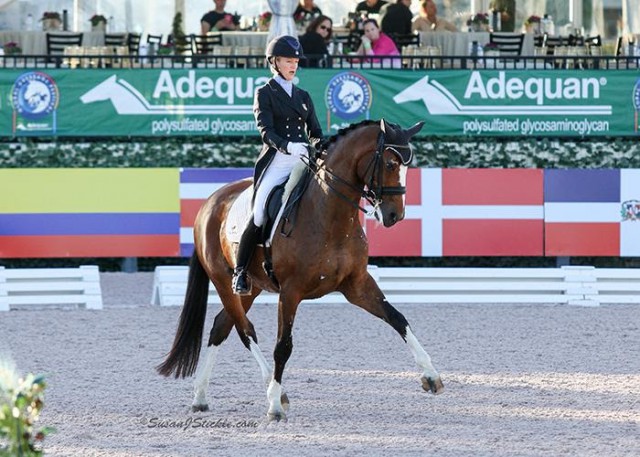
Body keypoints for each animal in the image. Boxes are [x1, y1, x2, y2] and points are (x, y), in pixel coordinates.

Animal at [158, 118, 442, 420]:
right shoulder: (290, 292)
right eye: (389, 164)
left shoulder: (357, 285)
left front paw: (431, 375)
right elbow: (283, 346)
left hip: (251, 288)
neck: (330, 215)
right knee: (245, 330)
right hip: (224, 282)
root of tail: (209, 203)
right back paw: (275, 393)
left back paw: (200, 396)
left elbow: (398, 318)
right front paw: (274, 405)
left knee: (220, 326)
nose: (394, 216)